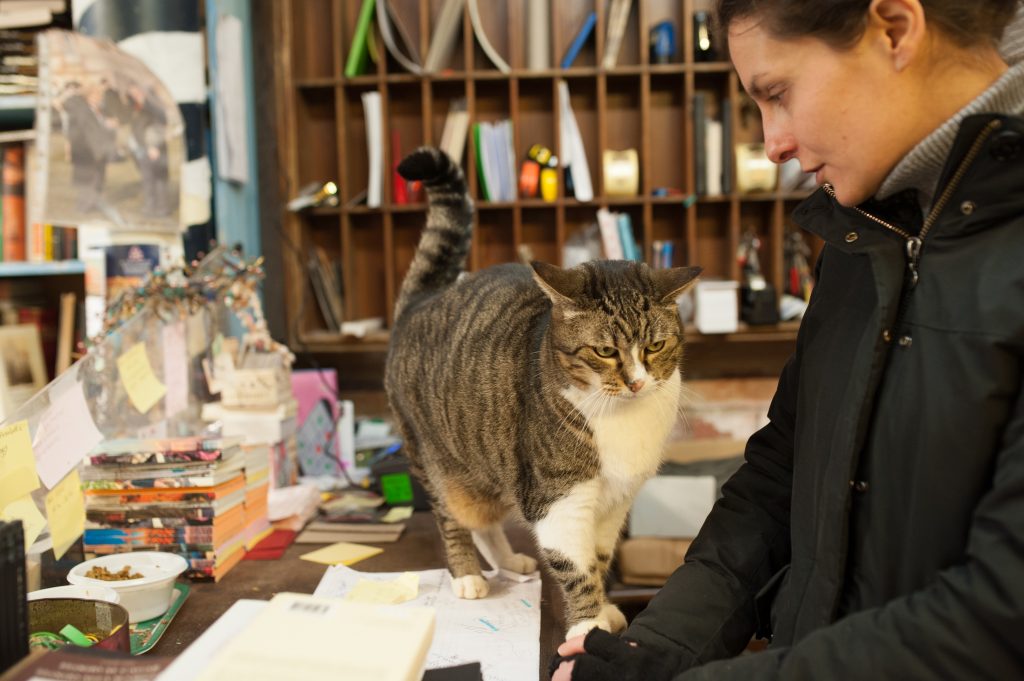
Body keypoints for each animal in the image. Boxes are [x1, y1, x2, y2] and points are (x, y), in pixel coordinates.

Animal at [385, 147, 704, 639]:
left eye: (654, 346)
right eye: (605, 351)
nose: (636, 382)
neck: (622, 417)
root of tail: (420, 302)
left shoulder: (615, 503)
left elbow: (598, 559)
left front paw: (605, 610)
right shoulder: (560, 500)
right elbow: (576, 568)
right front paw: (587, 626)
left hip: (491, 461)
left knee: (485, 517)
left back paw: (508, 560)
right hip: (435, 460)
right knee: (452, 517)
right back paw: (468, 576)